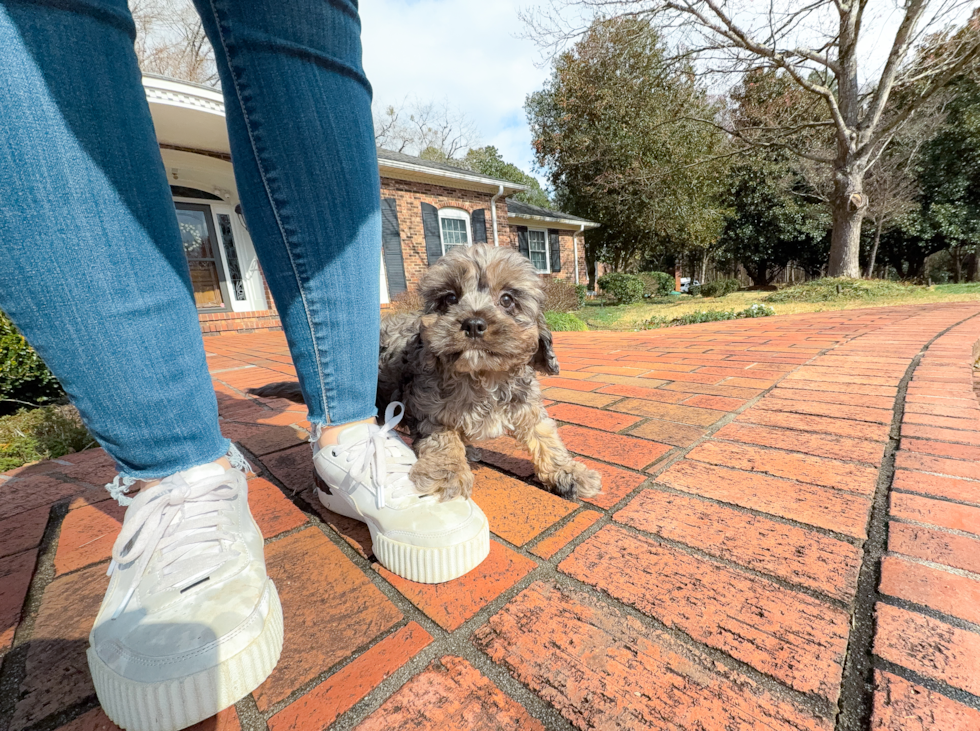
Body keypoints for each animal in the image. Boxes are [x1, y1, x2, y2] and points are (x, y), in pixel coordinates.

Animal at [249, 243, 600, 500]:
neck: (482, 377)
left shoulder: (526, 405)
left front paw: (568, 473)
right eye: (449, 298)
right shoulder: (429, 410)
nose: (474, 323)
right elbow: (443, 440)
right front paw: (448, 473)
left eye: (507, 299)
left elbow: (546, 438)